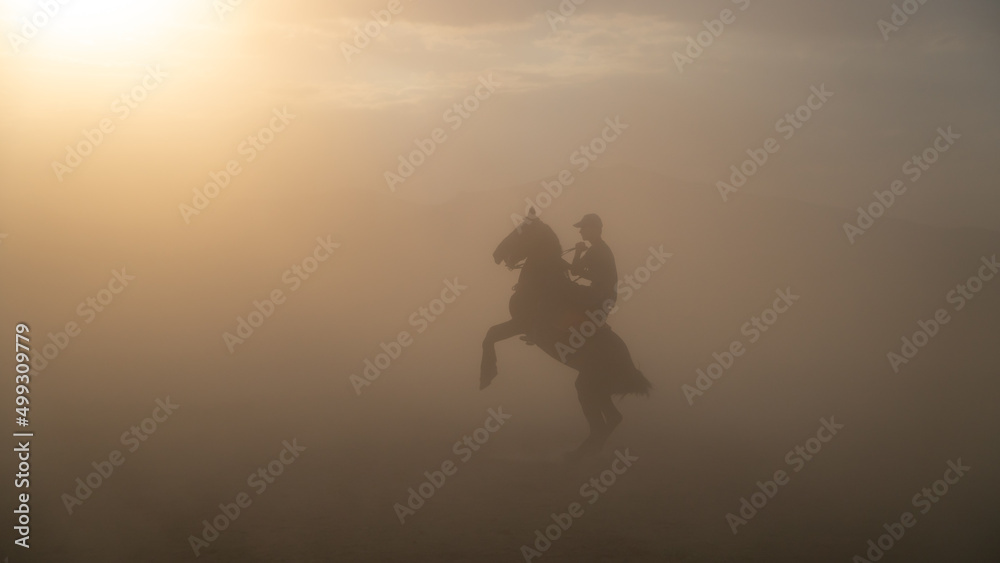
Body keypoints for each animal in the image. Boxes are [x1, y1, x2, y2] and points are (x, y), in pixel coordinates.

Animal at [480, 213, 652, 459]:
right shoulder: (518, 325)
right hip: (595, 387)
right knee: (612, 419)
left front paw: (486, 374)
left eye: (523, 230)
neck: (541, 282)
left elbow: (491, 334)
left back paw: (578, 456)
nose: (497, 254)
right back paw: (583, 453)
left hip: (588, 385)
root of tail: (629, 366)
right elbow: (490, 335)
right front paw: (487, 374)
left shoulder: (521, 324)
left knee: (601, 424)